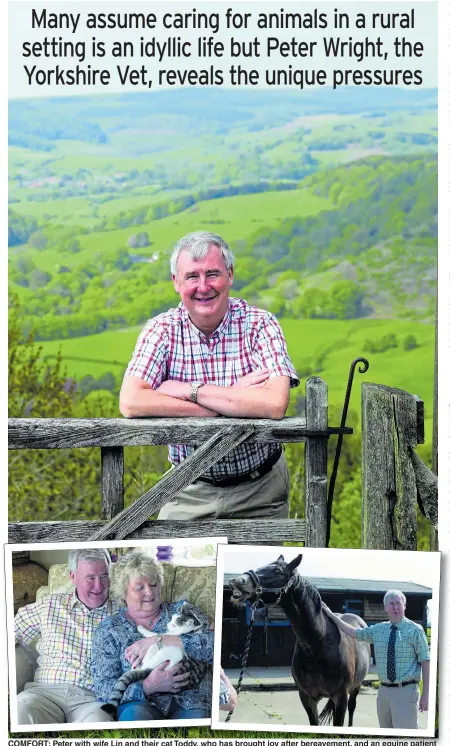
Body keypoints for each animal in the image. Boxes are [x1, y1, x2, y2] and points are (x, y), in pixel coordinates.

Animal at [230, 552, 370, 720]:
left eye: (277, 571)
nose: (237, 581)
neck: (319, 644)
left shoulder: (341, 698)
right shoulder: (307, 698)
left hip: (356, 688)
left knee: (352, 708)